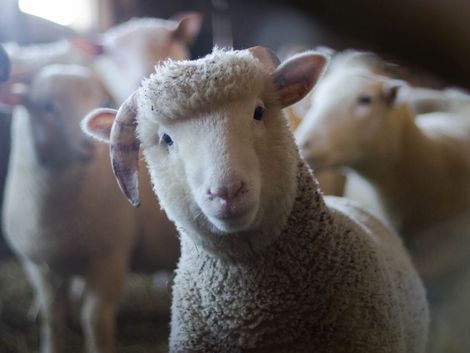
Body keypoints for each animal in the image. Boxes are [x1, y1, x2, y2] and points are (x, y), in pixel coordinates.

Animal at [0, 64, 179, 352]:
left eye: (99, 101)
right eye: (47, 107)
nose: (88, 145)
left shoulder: (110, 260)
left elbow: (94, 319)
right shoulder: (40, 267)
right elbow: (52, 318)